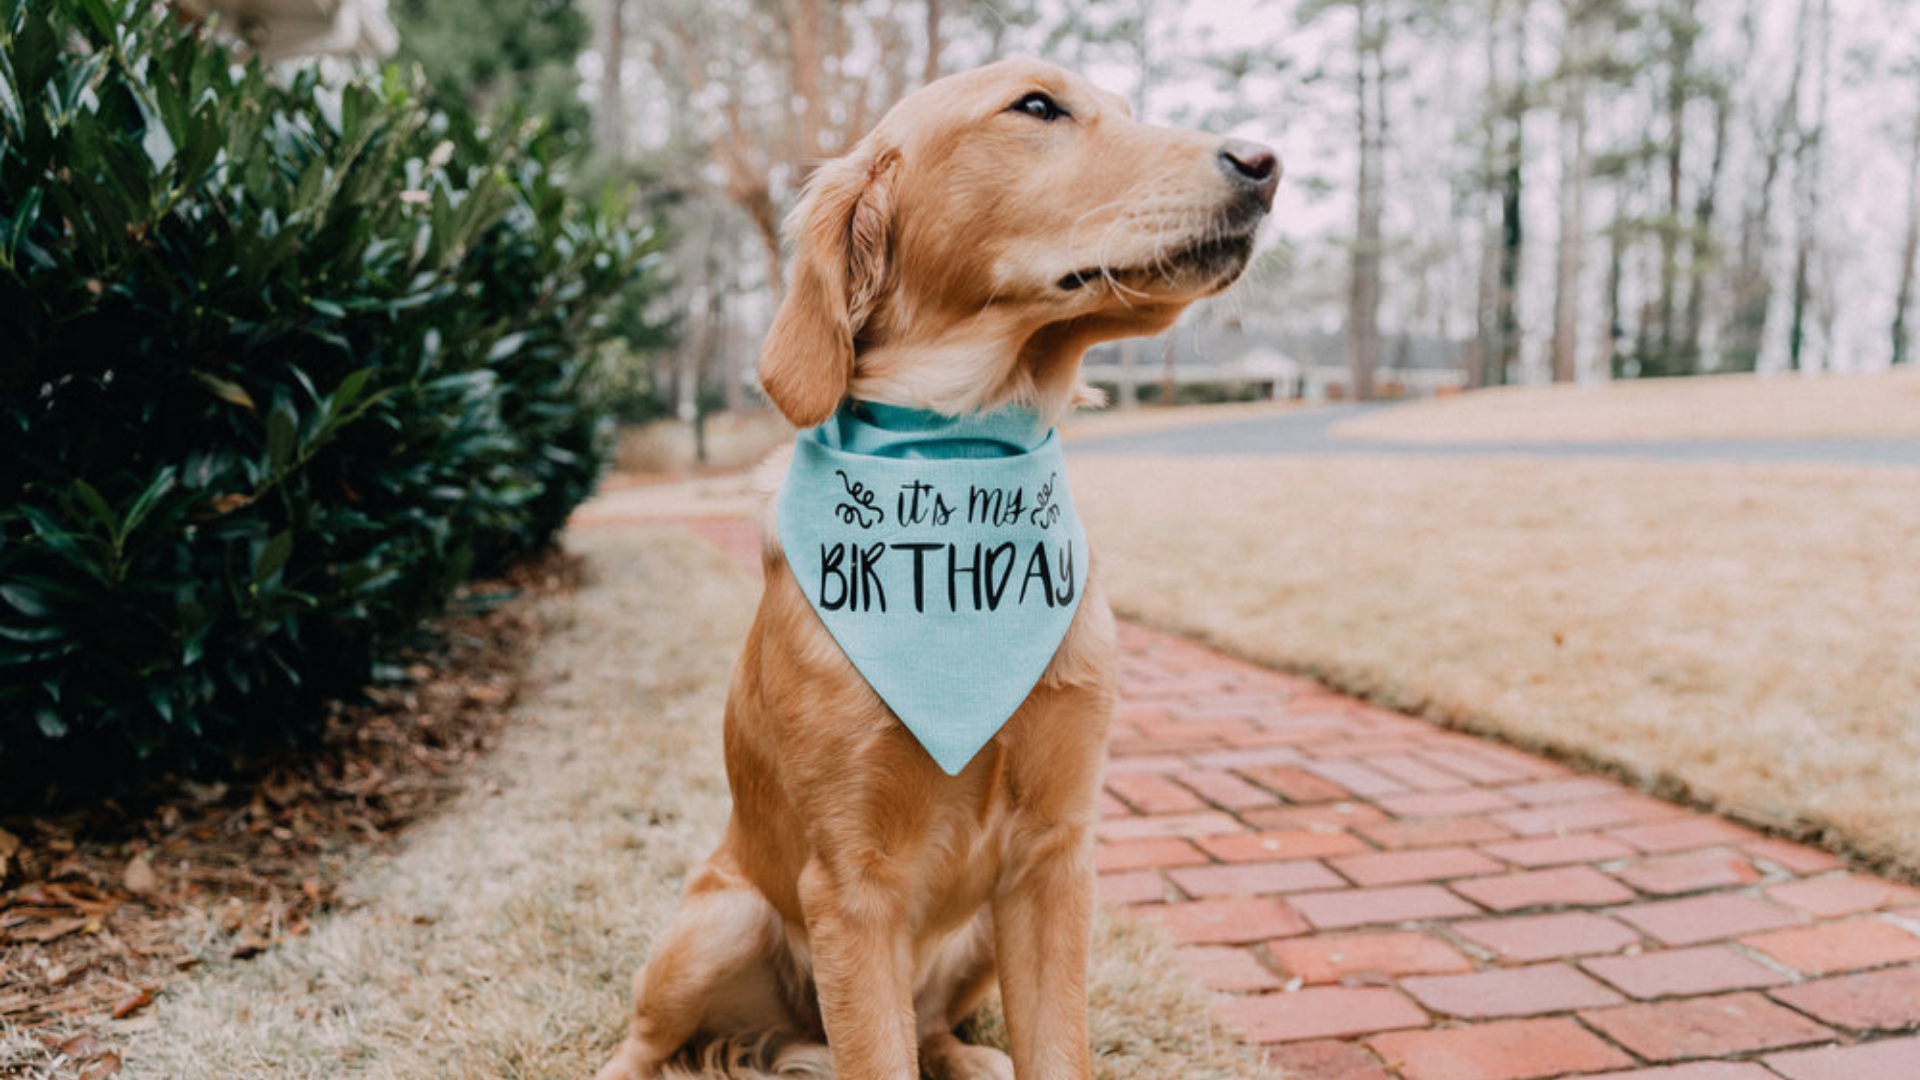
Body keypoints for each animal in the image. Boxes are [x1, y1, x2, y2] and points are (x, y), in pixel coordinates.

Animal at [587, 56, 1274, 1076]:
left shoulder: (1057, 857)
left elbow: (1057, 1051)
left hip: (975, 935)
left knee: (935, 1025)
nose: (1264, 162)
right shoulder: (851, 881)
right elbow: (877, 1053)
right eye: (1037, 106)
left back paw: (970, 1055)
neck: (961, 456)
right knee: (643, 1038)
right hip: (717, 923)